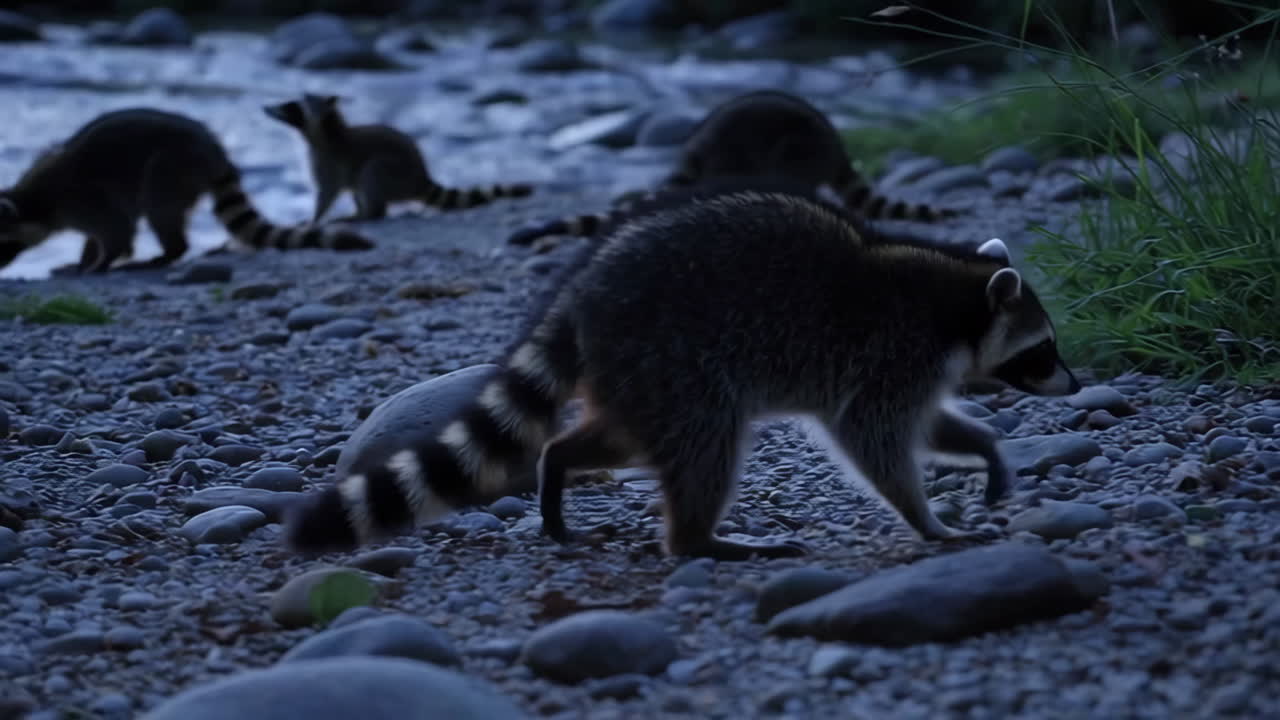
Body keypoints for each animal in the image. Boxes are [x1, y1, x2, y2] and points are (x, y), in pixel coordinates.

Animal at [0, 108, 373, 274]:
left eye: (4, 243)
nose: (1, 267)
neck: (32, 201)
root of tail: (212, 148)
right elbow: (101, 234)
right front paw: (86, 257)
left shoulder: (82, 199)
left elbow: (117, 230)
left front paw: (99, 261)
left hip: (171, 167)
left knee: (159, 208)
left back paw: (169, 252)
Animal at [263, 94, 534, 223]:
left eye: (290, 107)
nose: (266, 108)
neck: (327, 133)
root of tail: (421, 176)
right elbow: (347, 188)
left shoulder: (329, 163)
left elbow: (328, 193)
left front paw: (316, 219)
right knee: (362, 181)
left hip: (396, 173)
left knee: (372, 171)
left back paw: (370, 213)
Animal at [285, 192, 1078, 559]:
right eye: (1043, 349)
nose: (1073, 384)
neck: (953, 295)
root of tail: (584, 289)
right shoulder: (894, 353)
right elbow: (872, 436)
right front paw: (927, 520)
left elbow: (926, 425)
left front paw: (985, 449)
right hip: (675, 359)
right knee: (707, 443)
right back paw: (700, 540)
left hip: (637, 375)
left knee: (624, 438)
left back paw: (559, 466)